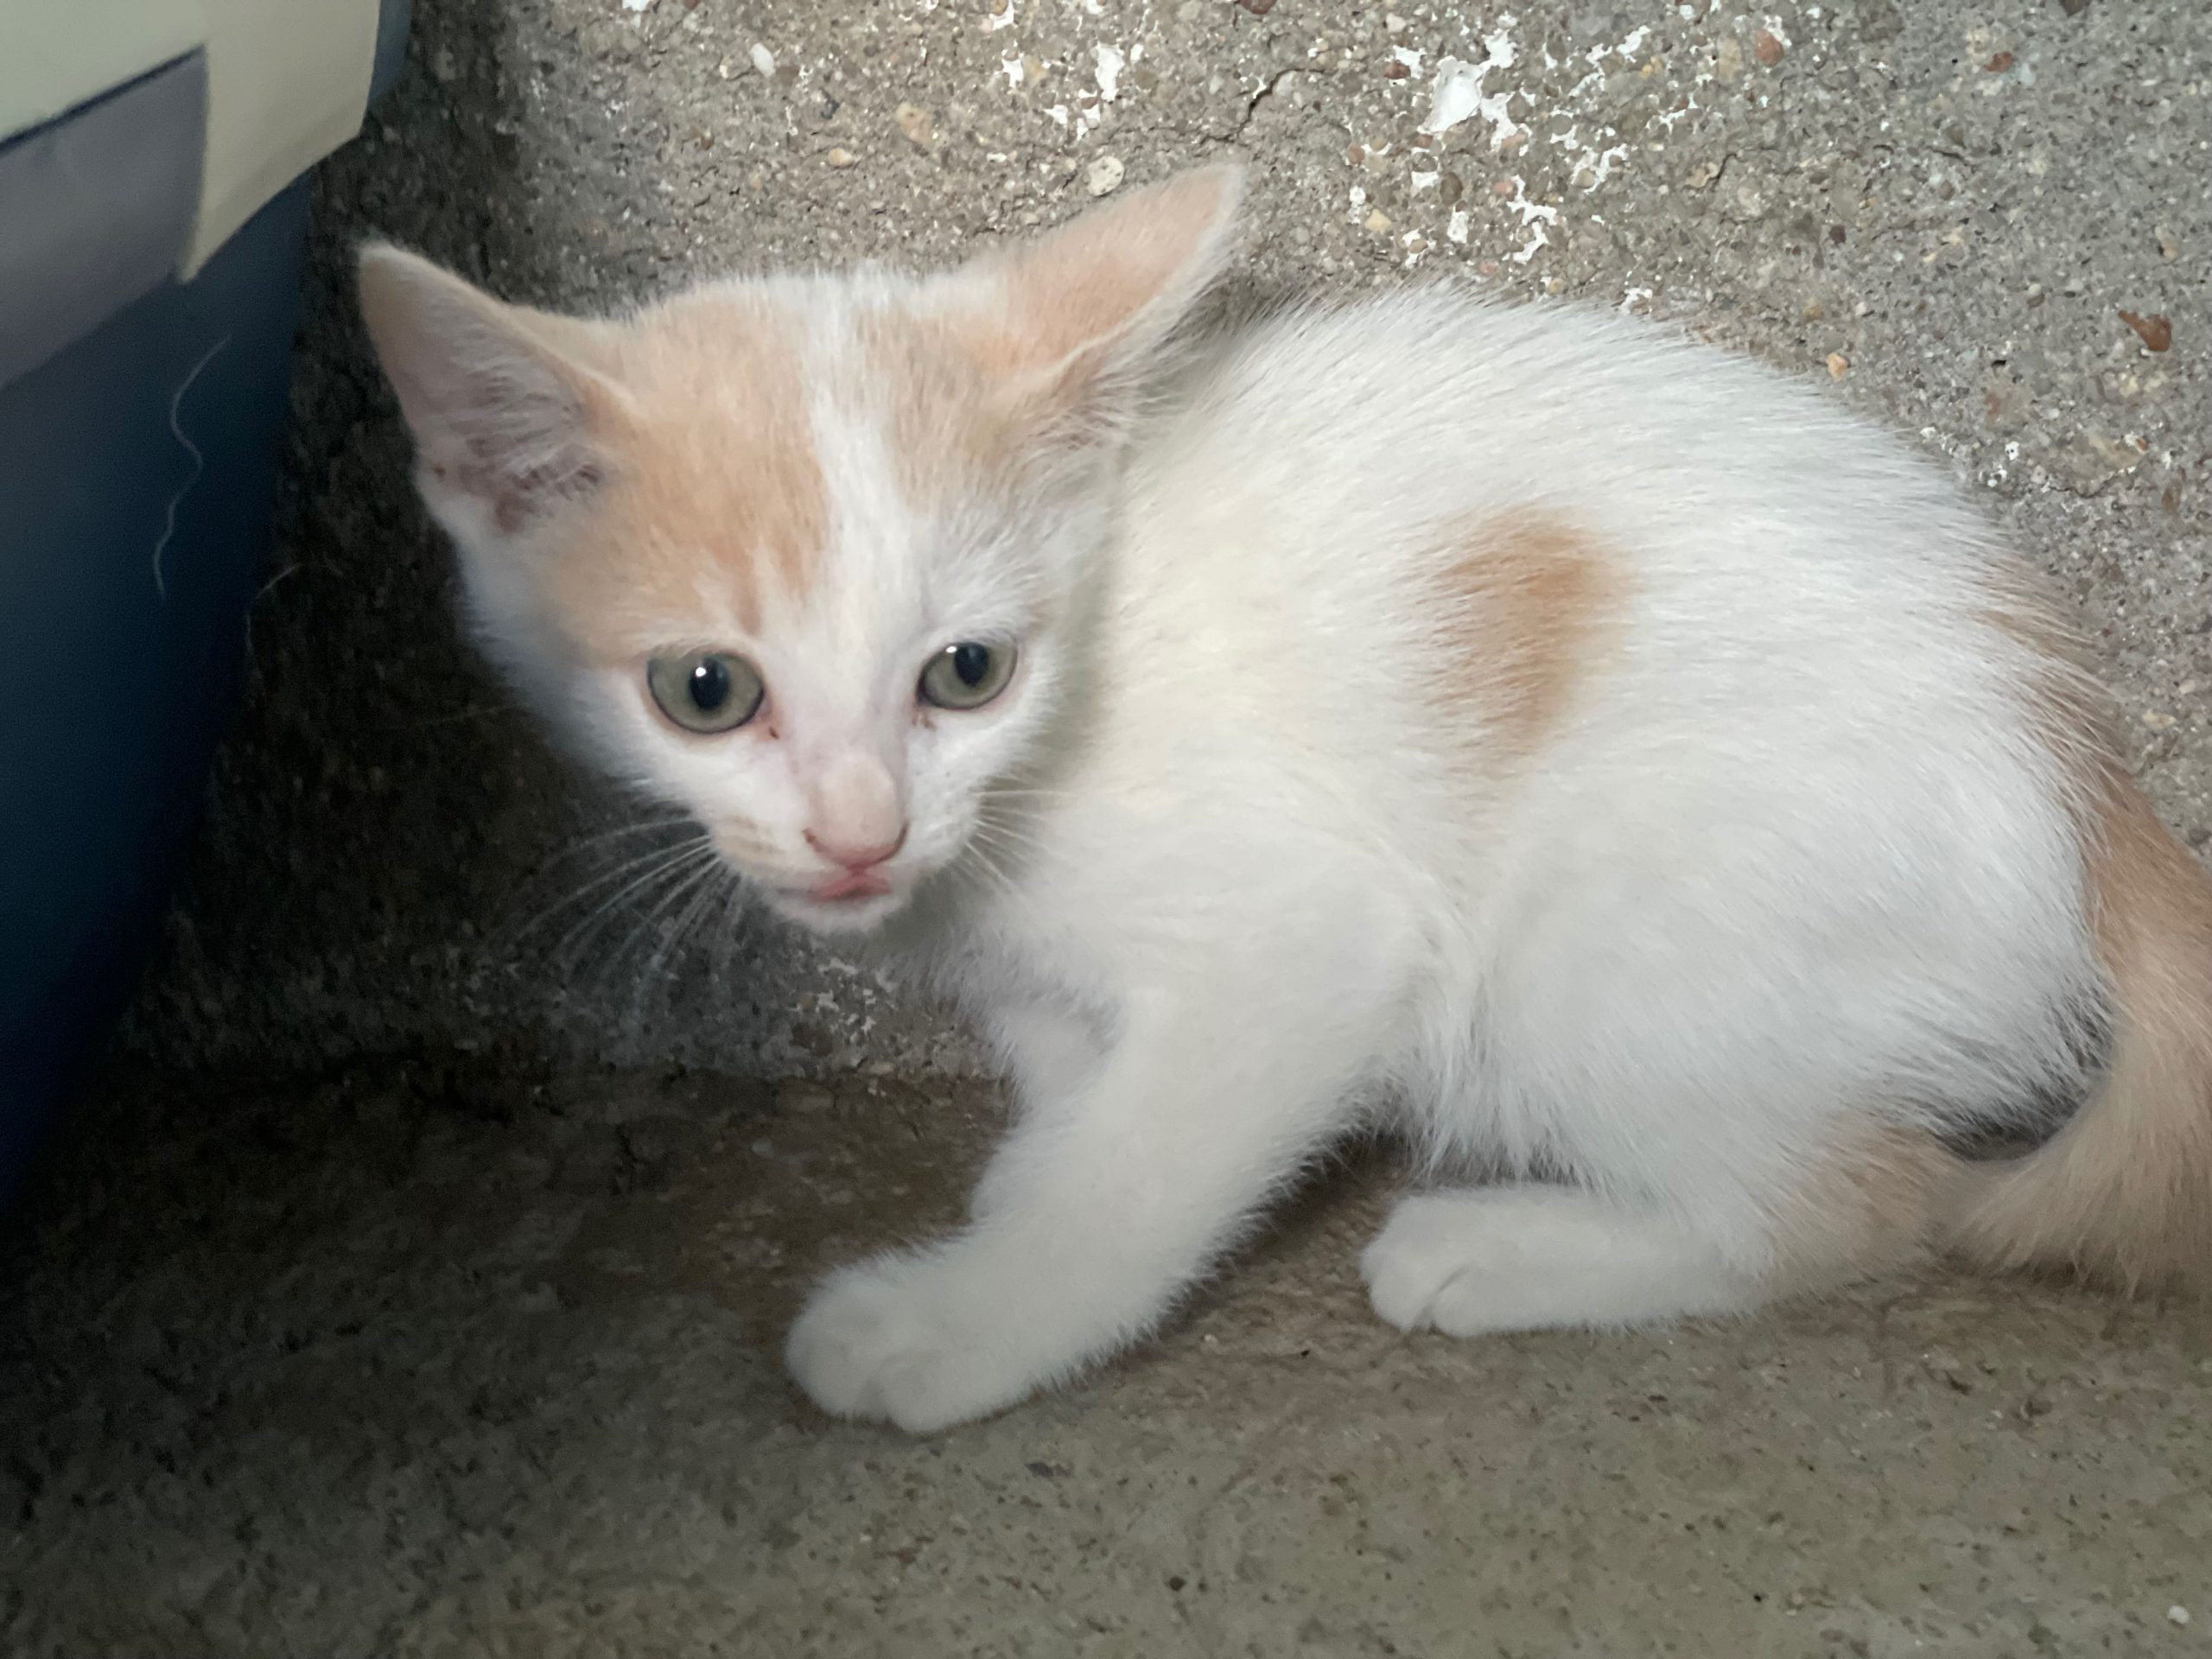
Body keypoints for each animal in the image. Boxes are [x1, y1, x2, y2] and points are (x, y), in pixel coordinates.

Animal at [358, 164, 2212, 1432]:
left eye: (966, 673)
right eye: (706, 691)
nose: (859, 830)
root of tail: (2088, 770)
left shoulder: (1307, 937)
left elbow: (1150, 1165)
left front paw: (963, 1322)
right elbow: (1082, 1089)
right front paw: (1022, 1187)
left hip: (1606, 939)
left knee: (1859, 1204)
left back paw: (1507, 1249)